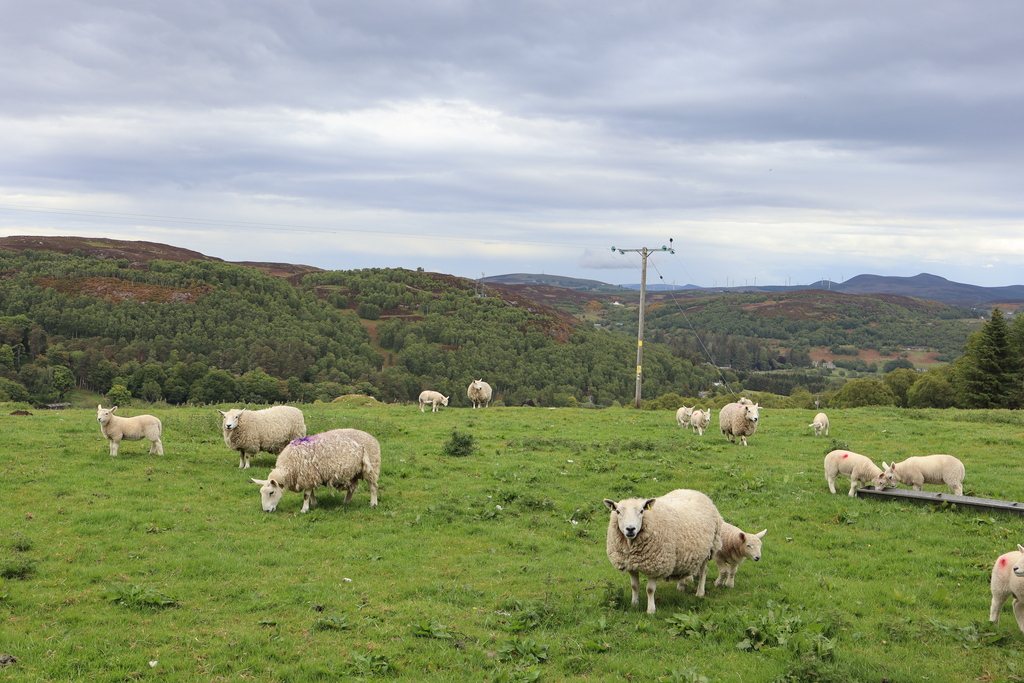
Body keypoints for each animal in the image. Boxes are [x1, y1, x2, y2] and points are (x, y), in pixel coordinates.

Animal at [250, 428, 381, 512]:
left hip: (371, 468)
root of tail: (371, 437)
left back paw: (373, 503)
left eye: (271, 492)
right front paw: (314, 504)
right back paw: (346, 502)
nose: (266, 510)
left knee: (373, 487)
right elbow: (311, 493)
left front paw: (304, 509)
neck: (288, 468)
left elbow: (306, 495)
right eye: (261, 493)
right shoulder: (308, 477)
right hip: (353, 472)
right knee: (352, 489)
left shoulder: (308, 475)